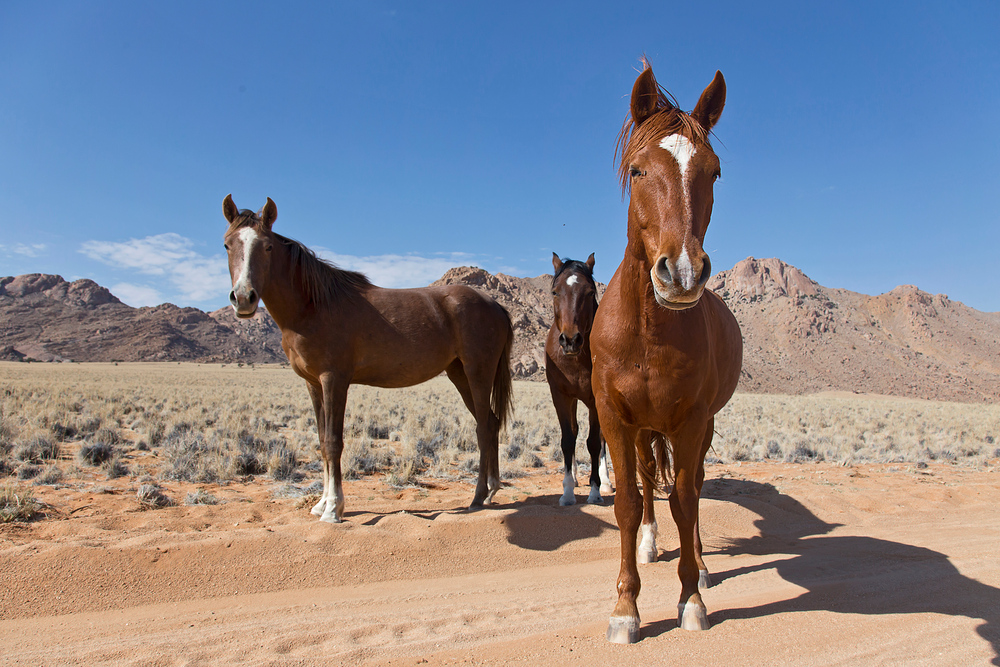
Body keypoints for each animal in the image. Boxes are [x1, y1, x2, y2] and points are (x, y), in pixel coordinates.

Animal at [222, 196, 512, 524]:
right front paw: (322, 504)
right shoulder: (312, 384)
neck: (313, 306)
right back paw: (490, 490)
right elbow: (321, 440)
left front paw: (333, 509)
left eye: (268, 246)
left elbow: (333, 442)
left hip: (478, 373)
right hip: (459, 374)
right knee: (490, 422)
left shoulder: (334, 380)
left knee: (483, 428)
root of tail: (495, 305)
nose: (243, 298)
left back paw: (477, 496)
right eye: (228, 245)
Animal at [544, 254, 612, 506]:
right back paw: (573, 476)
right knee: (574, 430)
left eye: (590, 292)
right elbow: (567, 439)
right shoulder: (561, 396)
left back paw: (606, 481)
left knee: (602, 439)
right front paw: (567, 491)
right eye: (555, 292)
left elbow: (593, 442)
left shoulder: (595, 399)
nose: (571, 340)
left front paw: (595, 490)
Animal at [592, 65, 744, 644]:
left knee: (692, 487)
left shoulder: (691, 420)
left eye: (714, 173)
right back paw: (650, 546)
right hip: (643, 430)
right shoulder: (616, 418)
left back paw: (698, 564)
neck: (649, 333)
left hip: (701, 428)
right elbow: (628, 503)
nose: (681, 272)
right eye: (637, 170)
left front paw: (691, 599)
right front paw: (625, 608)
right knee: (645, 484)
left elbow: (685, 499)